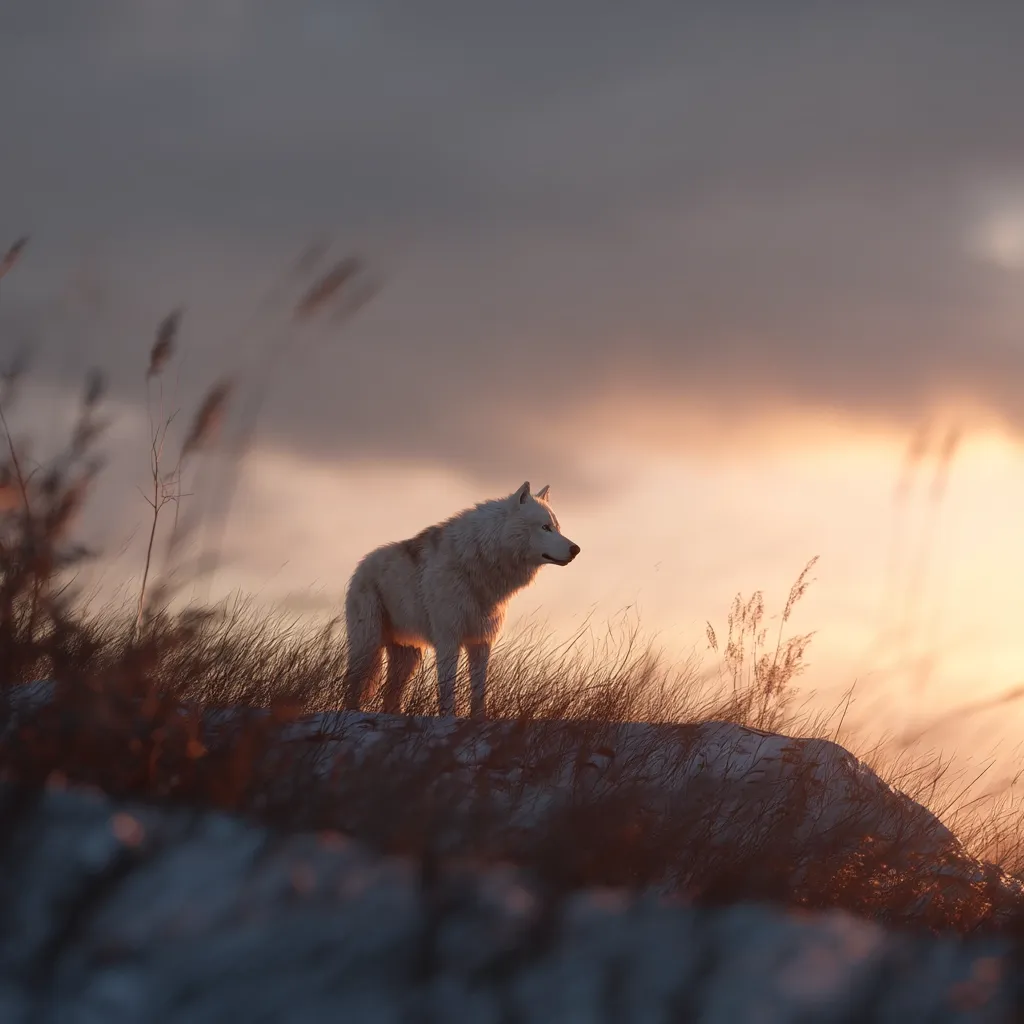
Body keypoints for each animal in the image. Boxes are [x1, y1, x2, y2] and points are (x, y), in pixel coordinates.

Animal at [342, 481, 580, 719]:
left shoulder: (481, 642)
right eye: (545, 527)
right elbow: (448, 691)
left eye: (557, 528)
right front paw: (448, 718)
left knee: (389, 698)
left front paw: (478, 720)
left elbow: (479, 692)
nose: (576, 549)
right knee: (352, 687)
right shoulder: (448, 641)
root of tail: (360, 566)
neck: (480, 563)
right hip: (367, 645)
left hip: (408, 657)